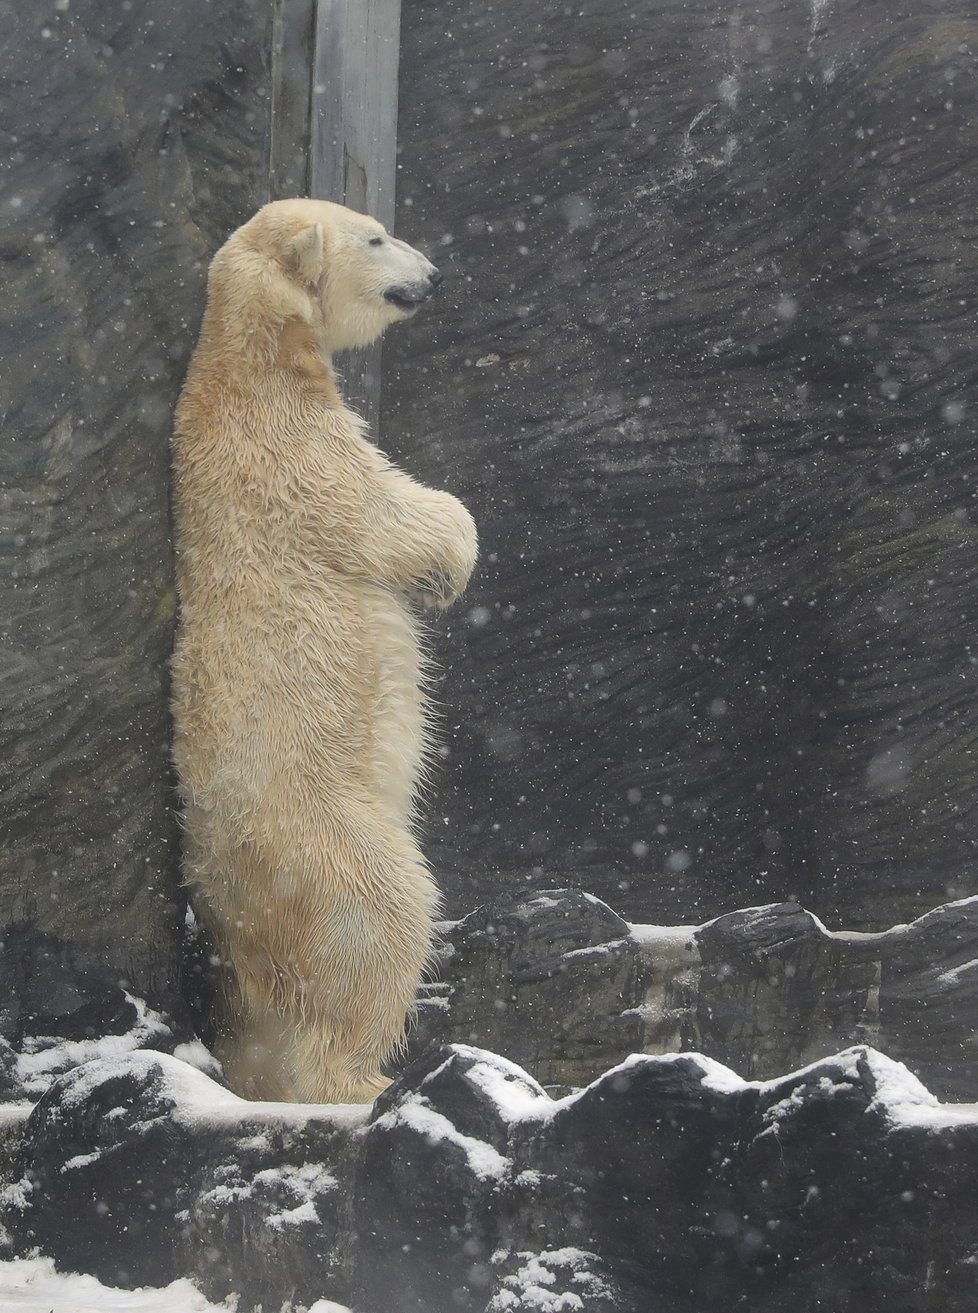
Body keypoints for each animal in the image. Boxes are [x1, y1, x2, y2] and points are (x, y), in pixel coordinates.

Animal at [171, 199, 477, 1102]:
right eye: (376, 237)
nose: (434, 275)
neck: (250, 364)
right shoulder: (298, 457)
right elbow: (398, 514)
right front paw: (452, 568)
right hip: (327, 841)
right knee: (384, 918)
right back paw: (365, 1079)